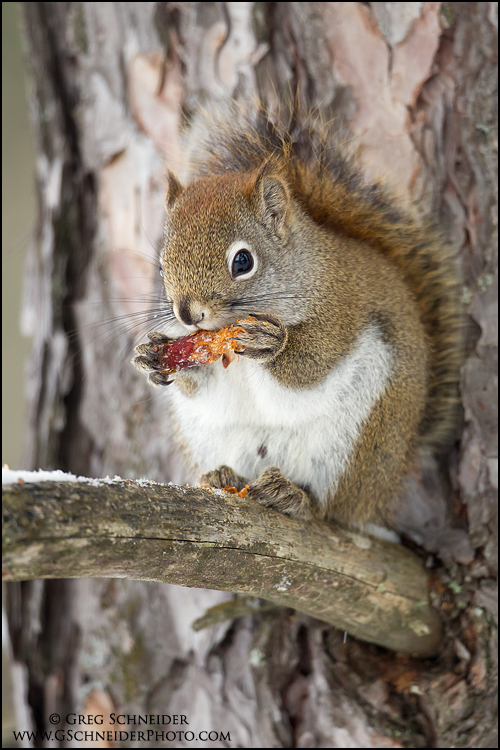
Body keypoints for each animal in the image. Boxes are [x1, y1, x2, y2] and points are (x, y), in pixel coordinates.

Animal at [132, 102, 462, 527]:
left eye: (243, 261)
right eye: (160, 267)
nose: (188, 314)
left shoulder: (342, 309)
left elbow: (313, 366)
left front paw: (269, 343)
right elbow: (199, 382)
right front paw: (152, 355)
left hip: (355, 446)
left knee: (327, 509)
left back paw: (292, 495)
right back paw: (224, 476)